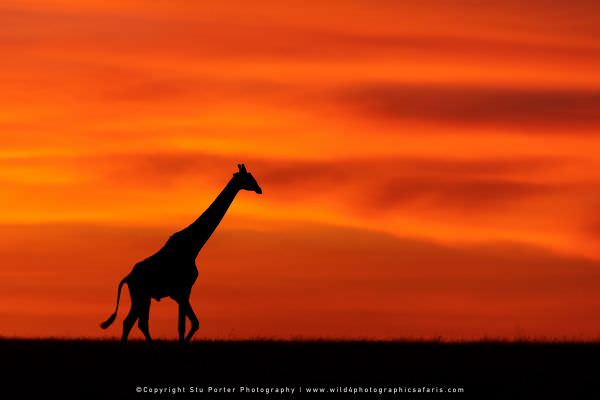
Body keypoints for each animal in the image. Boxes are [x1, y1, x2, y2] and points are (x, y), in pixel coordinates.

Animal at [99, 164, 262, 342]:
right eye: (248, 178)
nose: (259, 189)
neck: (193, 247)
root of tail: (128, 277)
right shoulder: (183, 290)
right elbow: (185, 326)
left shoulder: (180, 294)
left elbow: (191, 324)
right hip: (140, 295)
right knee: (133, 322)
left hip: (144, 297)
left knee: (136, 323)